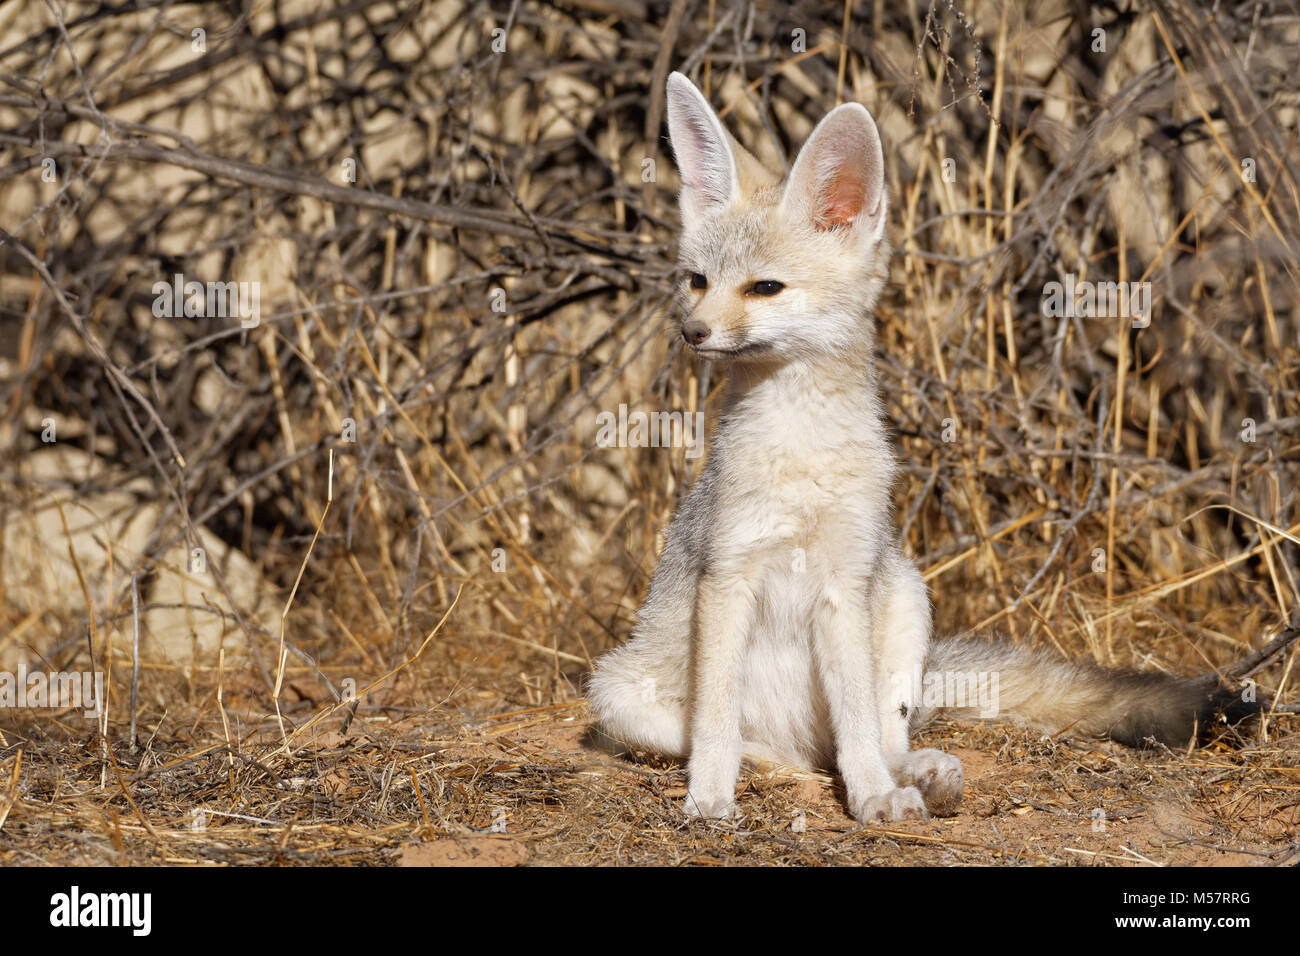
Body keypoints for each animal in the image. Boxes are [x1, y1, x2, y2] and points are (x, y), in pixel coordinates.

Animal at [585, 71, 1260, 823]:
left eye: (764, 287)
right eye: (697, 280)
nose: (692, 332)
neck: (802, 456)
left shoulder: (845, 582)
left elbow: (857, 726)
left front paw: (874, 796)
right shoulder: (728, 575)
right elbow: (715, 723)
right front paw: (709, 798)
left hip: (905, 590)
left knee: (870, 736)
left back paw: (910, 773)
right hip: (616, 692)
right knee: (762, 747)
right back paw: (766, 766)